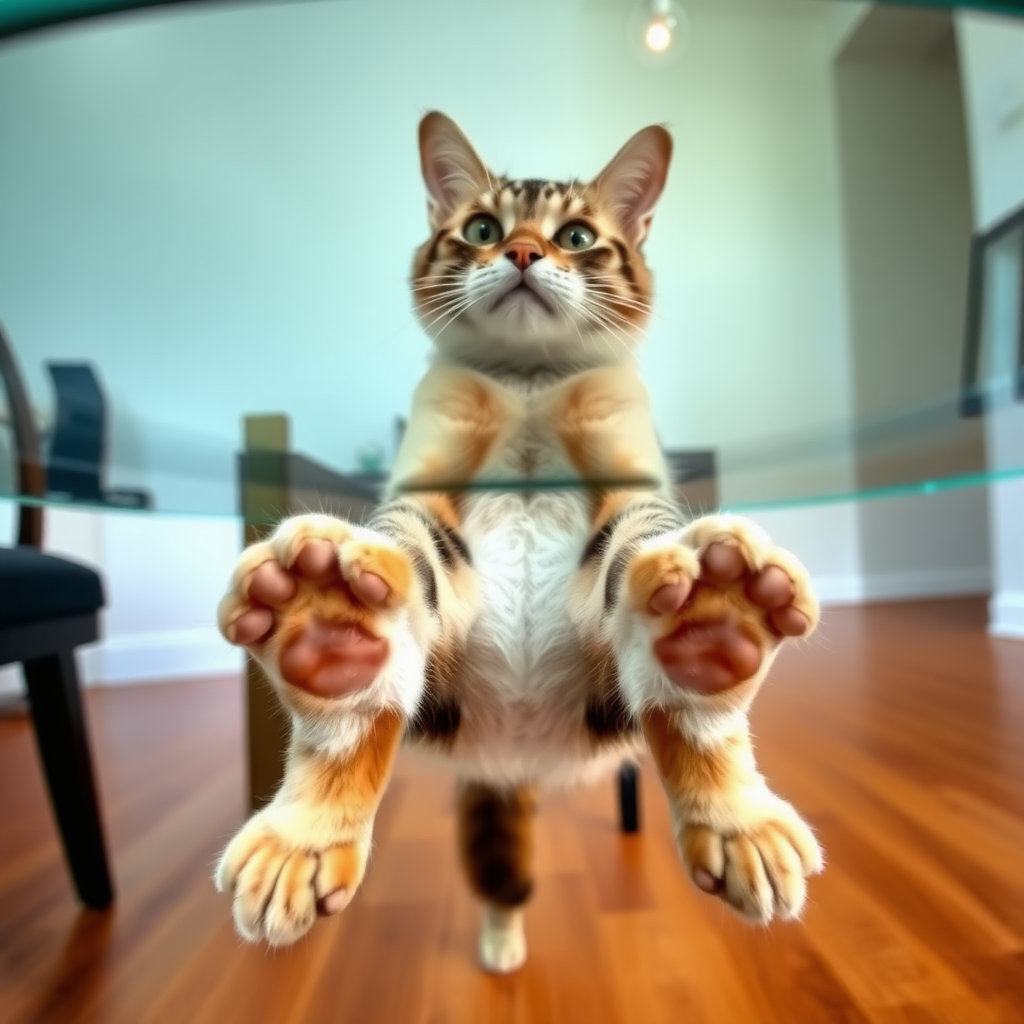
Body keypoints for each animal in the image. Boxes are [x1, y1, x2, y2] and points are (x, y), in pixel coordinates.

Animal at [211, 112, 819, 974]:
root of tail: (521, 750)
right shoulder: (423, 495)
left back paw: (717, 660)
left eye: (575, 236)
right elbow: (409, 545)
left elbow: (639, 542)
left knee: (685, 714)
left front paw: (706, 590)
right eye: (482, 229)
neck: (529, 387)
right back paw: (324, 668)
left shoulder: (631, 489)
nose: (525, 253)